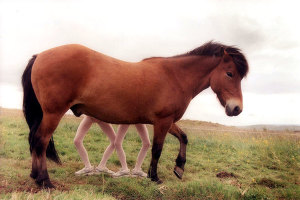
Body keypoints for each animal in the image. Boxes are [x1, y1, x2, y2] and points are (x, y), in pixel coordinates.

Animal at [21, 40, 248, 188]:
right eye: (229, 73)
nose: (236, 109)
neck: (175, 77)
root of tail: (40, 55)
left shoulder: (166, 121)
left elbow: (183, 137)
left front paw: (179, 168)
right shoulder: (163, 121)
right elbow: (157, 149)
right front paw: (154, 177)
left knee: (35, 140)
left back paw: (35, 175)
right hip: (53, 113)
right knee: (41, 140)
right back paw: (44, 181)